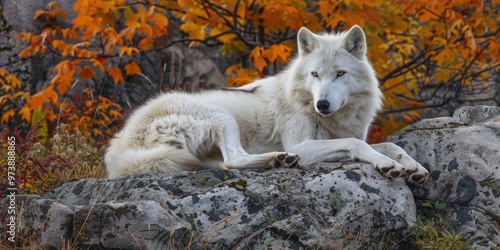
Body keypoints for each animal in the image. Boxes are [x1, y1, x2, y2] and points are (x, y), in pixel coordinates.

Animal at [104, 25, 430, 184]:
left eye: (340, 74)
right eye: (314, 75)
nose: (322, 104)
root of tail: (118, 149)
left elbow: (391, 145)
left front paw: (413, 166)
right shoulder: (302, 145)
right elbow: (358, 144)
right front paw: (386, 165)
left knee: (222, 163)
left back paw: (277, 160)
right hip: (221, 117)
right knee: (234, 159)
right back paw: (279, 158)